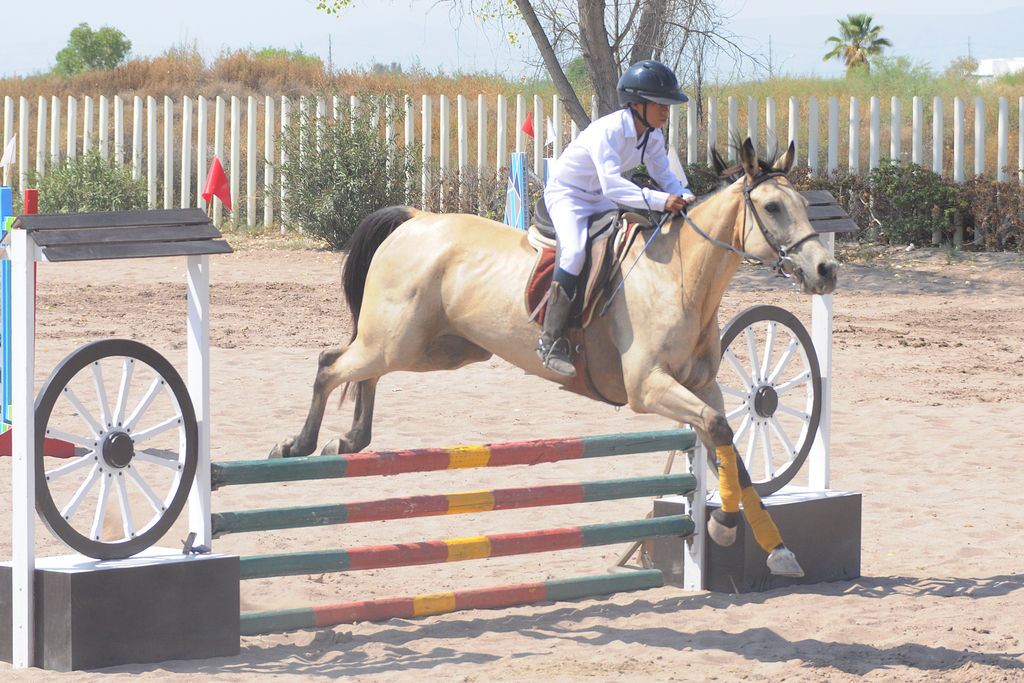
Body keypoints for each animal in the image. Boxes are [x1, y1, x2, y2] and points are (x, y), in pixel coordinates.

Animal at [274, 139, 839, 577]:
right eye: (773, 208)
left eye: (804, 204)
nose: (826, 271)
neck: (681, 277)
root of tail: (416, 220)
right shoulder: (649, 388)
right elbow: (721, 432)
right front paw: (724, 525)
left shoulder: (702, 388)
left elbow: (731, 449)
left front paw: (775, 548)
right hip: (397, 340)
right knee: (330, 365)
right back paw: (299, 444)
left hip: (433, 349)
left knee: (358, 368)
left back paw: (350, 440)